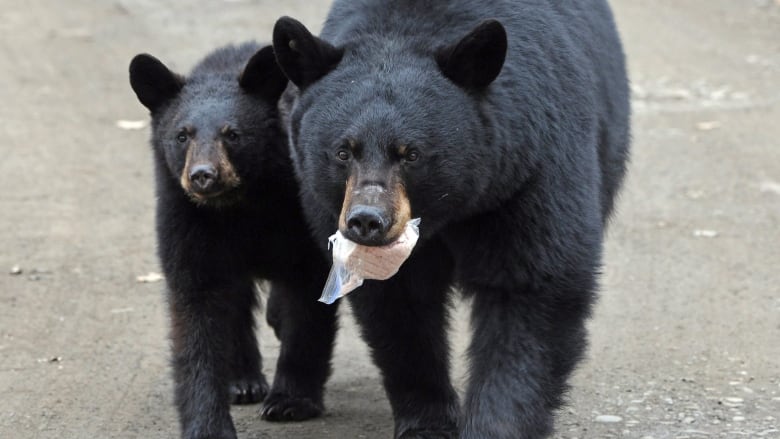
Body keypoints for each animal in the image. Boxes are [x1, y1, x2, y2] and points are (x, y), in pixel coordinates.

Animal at [129, 43, 340, 439]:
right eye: (182, 135)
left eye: (233, 134)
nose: (203, 176)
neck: (238, 205)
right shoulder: (186, 221)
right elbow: (197, 315)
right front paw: (208, 424)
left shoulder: (298, 216)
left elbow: (308, 296)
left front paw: (290, 401)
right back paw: (243, 381)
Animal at [272, 0, 632, 436]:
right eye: (343, 151)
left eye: (411, 153)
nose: (367, 221)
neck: (449, 212)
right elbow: (398, 306)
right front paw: (428, 420)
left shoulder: (529, 171)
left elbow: (532, 288)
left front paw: (494, 424)